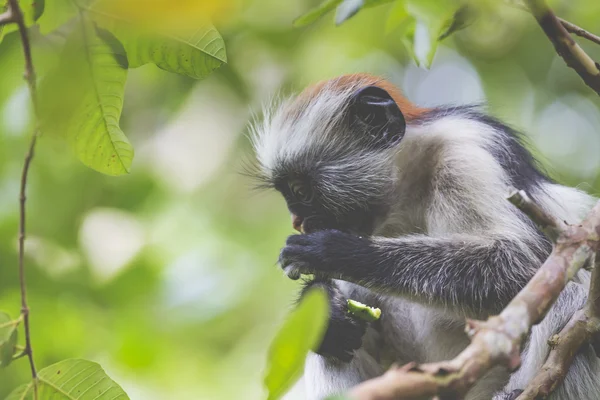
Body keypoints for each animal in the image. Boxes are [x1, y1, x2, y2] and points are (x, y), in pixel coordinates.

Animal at [248, 73, 600, 398]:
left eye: (300, 191)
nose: (297, 221)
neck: (408, 191)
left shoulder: (465, 155)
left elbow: (524, 263)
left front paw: (335, 251)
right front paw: (323, 303)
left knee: (570, 297)